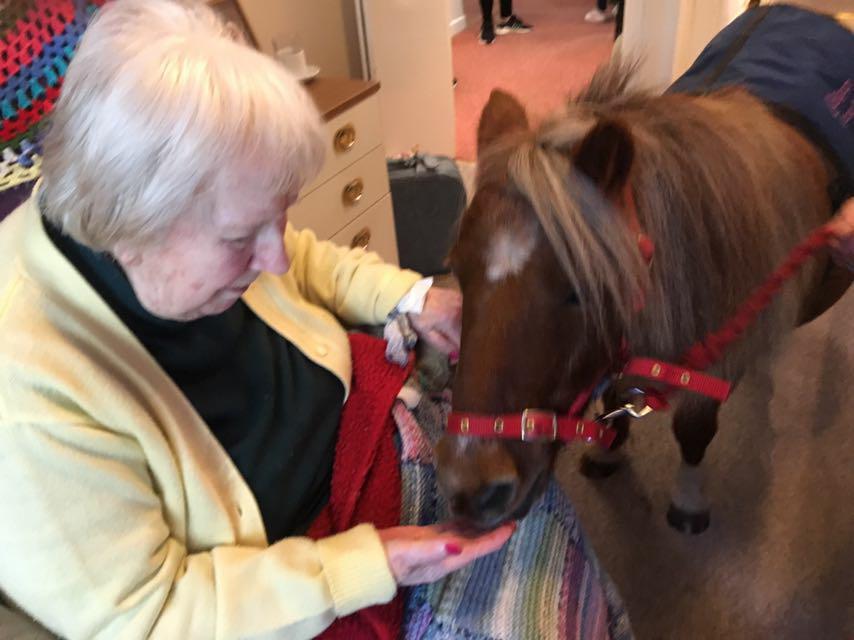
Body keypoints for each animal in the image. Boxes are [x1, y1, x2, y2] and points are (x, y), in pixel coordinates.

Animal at [438, 63, 852, 536]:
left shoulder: (716, 360)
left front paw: (689, 499)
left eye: (580, 290)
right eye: (457, 270)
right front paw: (609, 449)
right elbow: (616, 399)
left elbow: (693, 429)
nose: (471, 489)